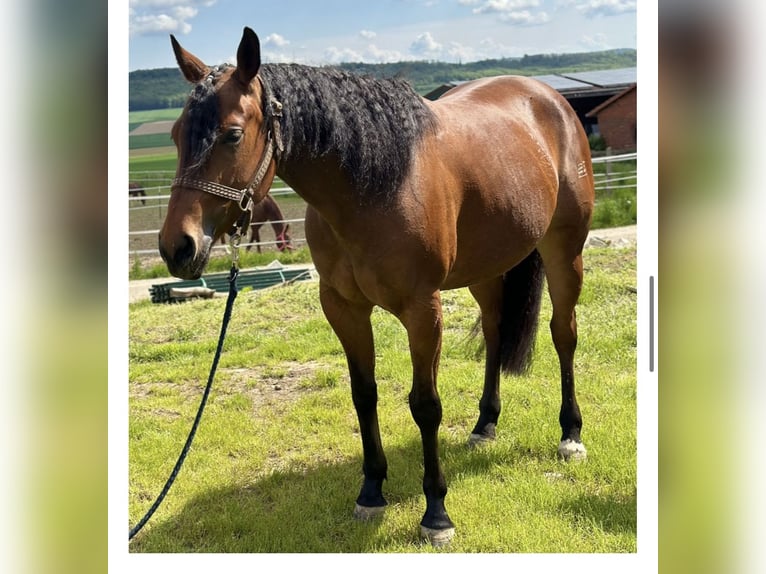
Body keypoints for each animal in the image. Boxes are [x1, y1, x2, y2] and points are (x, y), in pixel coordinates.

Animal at [158, 28, 595, 546]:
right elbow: (363, 394)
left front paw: (436, 513)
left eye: (233, 134)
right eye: (175, 135)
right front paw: (371, 492)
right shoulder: (343, 307)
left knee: (563, 333)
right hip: (488, 268)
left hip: (564, 251)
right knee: (495, 331)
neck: (373, 186)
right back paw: (485, 425)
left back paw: (570, 434)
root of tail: (549, 97)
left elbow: (425, 405)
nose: (177, 247)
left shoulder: (422, 311)